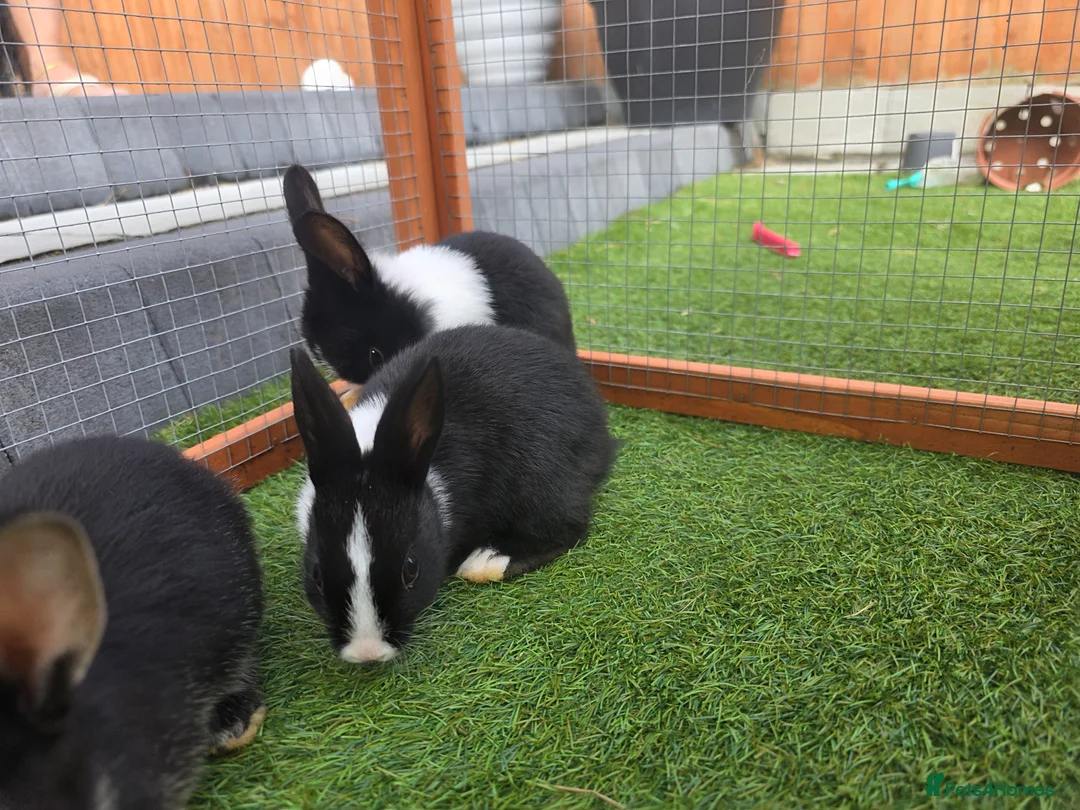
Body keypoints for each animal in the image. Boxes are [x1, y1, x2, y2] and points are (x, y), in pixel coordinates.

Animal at [290, 325, 617, 663]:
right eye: (316, 573)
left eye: (411, 569)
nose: (367, 652)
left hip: (542, 477)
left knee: (568, 527)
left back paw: (487, 561)